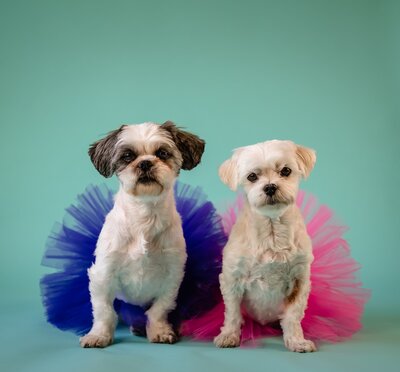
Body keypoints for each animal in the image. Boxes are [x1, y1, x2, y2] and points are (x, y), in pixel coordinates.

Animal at [80, 120, 206, 348]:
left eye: (162, 153)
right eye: (128, 156)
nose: (145, 163)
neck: (144, 218)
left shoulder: (172, 276)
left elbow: (159, 309)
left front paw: (160, 331)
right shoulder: (103, 274)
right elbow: (104, 311)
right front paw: (99, 335)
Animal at [214, 139, 318, 352]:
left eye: (286, 171)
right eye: (252, 176)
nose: (270, 187)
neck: (272, 232)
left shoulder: (300, 281)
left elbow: (293, 316)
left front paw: (297, 341)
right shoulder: (231, 278)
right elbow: (232, 313)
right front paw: (228, 336)